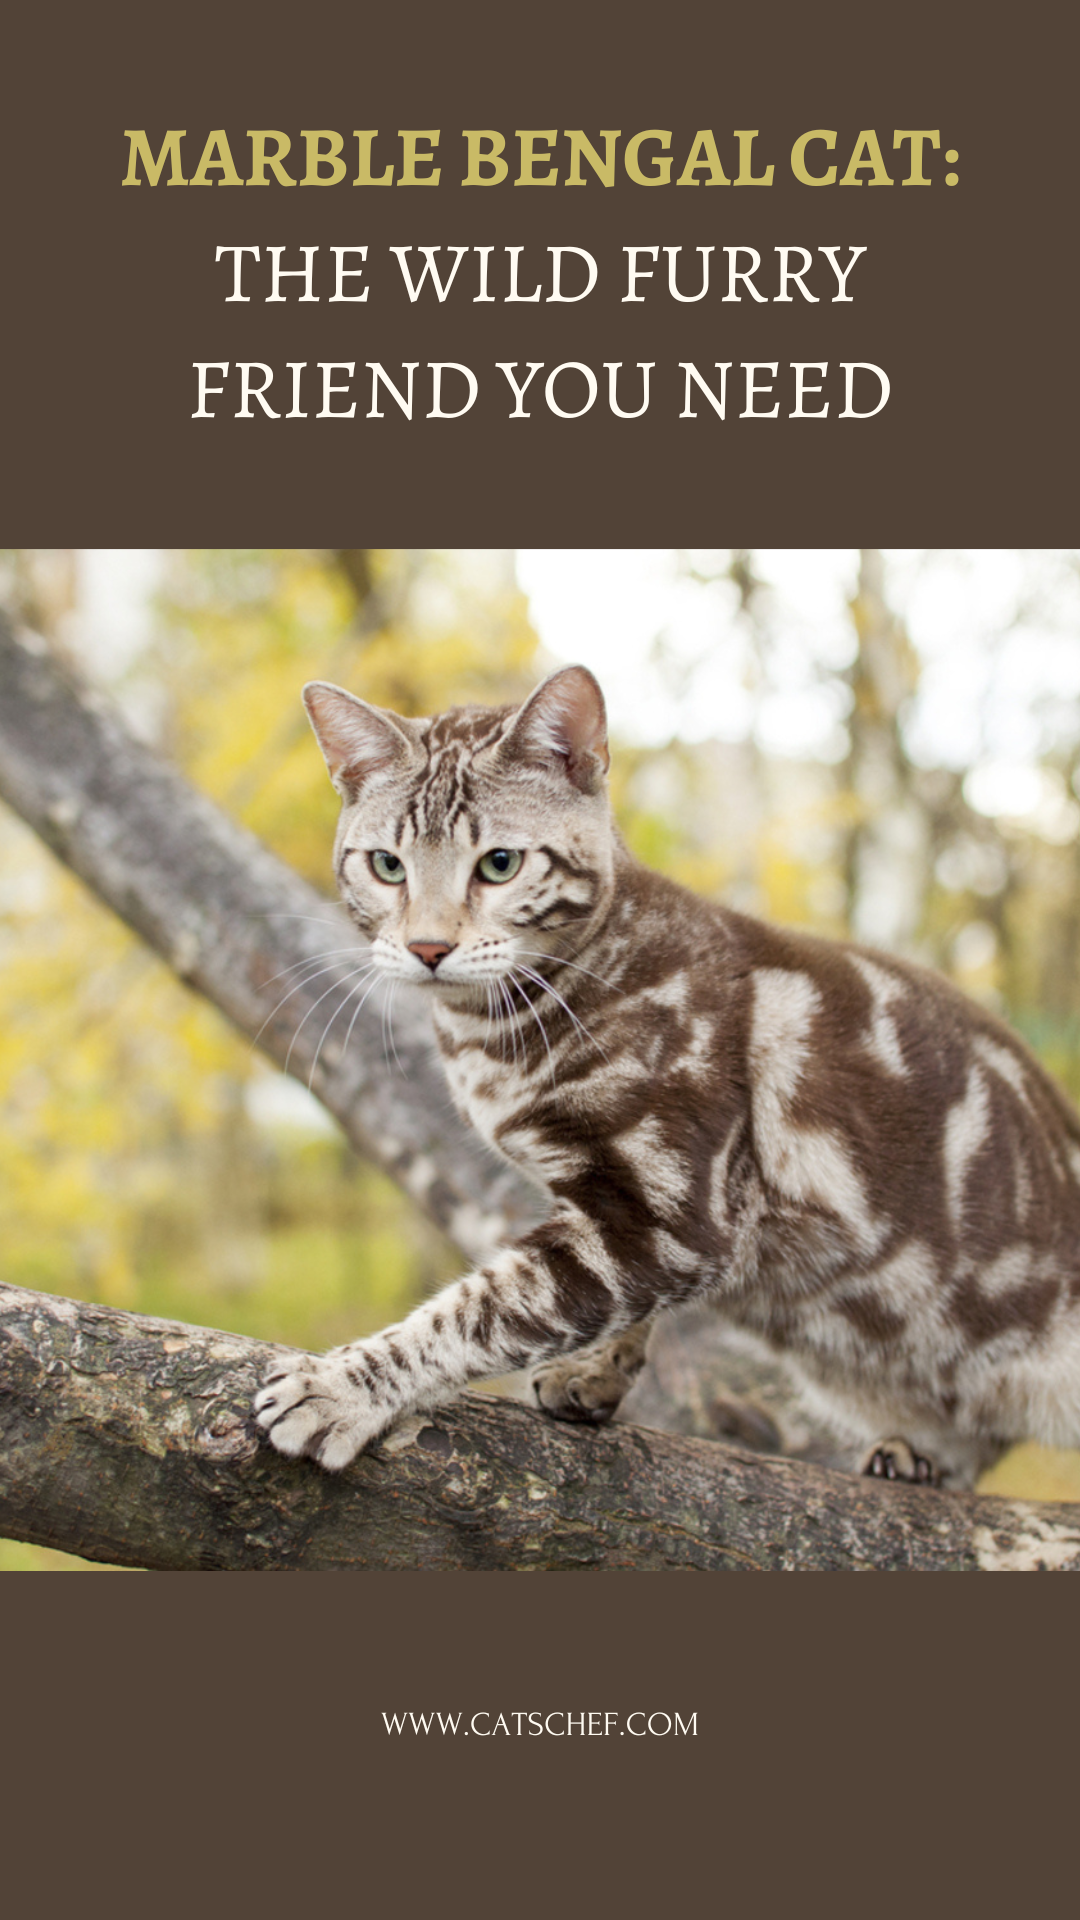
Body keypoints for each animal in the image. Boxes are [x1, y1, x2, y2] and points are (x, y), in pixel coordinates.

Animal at [249, 660, 1076, 1482]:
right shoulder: (628, 1219)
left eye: (500, 864)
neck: (494, 1036)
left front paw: (346, 1384)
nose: (426, 948)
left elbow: (486, 1307)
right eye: (387, 865)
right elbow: (614, 1310)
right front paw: (597, 1370)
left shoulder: (667, 1211)